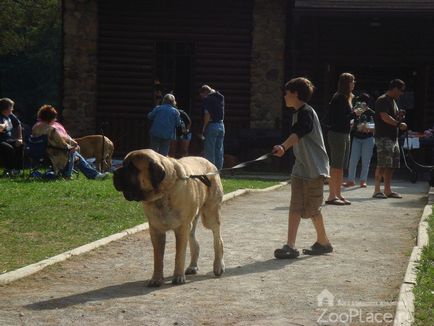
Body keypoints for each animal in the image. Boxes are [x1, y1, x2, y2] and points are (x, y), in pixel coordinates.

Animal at [113, 149, 225, 286]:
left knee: (218, 240)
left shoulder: (182, 228)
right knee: (195, 242)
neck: (162, 194)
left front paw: (178, 277)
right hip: (191, 223)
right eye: (123, 164)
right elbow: (158, 257)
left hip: (209, 216)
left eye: (132, 168)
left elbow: (179, 254)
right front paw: (156, 279)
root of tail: (210, 163)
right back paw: (192, 266)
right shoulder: (156, 231)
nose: (115, 172)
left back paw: (218, 266)